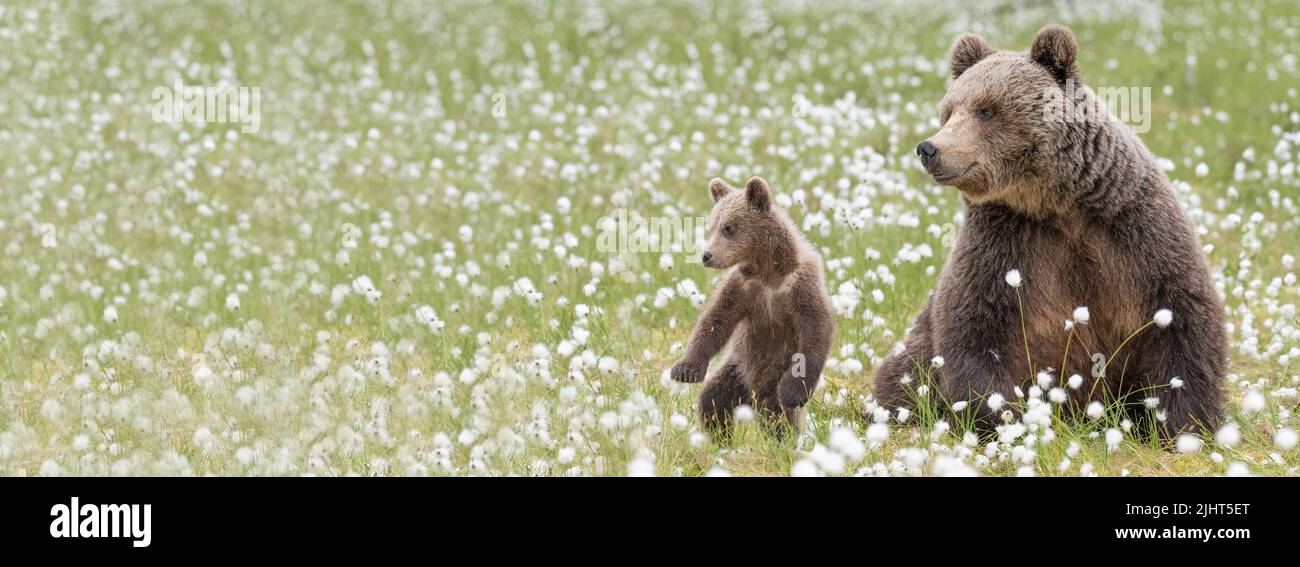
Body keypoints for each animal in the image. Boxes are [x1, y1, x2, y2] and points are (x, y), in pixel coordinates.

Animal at [671, 176, 835, 438]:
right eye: (713, 226)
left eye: (729, 228)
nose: (706, 255)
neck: (768, 270)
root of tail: (753, 392)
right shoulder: (742, 288)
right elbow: (715, 321)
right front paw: (685, 369)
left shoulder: (800, 286)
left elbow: (816, 327)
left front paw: (795, 390)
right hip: (737, 368)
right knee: (714, 400)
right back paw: (719, 437)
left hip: (772, 373)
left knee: (775, 413)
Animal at [872, 25, 1226, 442]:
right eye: (948, 111)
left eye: (986, 110)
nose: (930, 148)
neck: (1056, 205)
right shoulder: (1006, 242)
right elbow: (974, 327)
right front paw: (998, 418)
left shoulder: (1134, 229)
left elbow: (1180, 315)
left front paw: (1184, 422)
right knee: (903, 376)